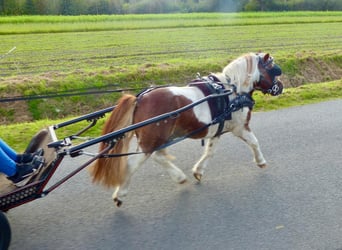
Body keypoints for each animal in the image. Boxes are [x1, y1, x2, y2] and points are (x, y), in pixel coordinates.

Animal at [90, 51, 284, 206]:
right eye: (273, 68)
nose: (281, 87)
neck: (232, 91)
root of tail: (140, 99)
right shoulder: (240, 127)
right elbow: (254, 142)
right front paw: (261, 161)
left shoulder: (218, 129)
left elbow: (210, 151)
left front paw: (198, 171)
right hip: (152, 139)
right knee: (137, 162)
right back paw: (122, 193)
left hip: (157, 138)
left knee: (158, 156)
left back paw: (178, 177)